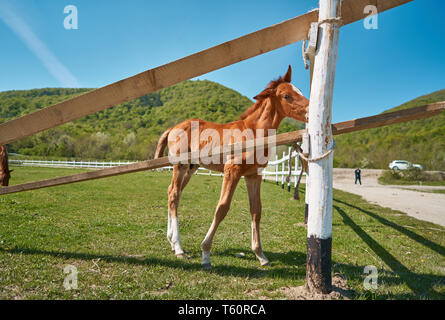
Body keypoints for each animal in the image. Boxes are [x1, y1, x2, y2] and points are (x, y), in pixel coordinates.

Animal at [154, 65, 306, 268]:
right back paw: (178, 247)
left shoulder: (253, 175)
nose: (310, 111)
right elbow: (222, 208)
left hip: (191, 168)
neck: (253, 132)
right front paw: (206, 253)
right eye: (287, 96)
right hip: (181, 166)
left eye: (299, 90)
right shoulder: (232, 170)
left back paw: (172, 241)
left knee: (172, 192)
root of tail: (173, 128)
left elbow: (256, 210)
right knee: (174, 195)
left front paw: (260, 255)